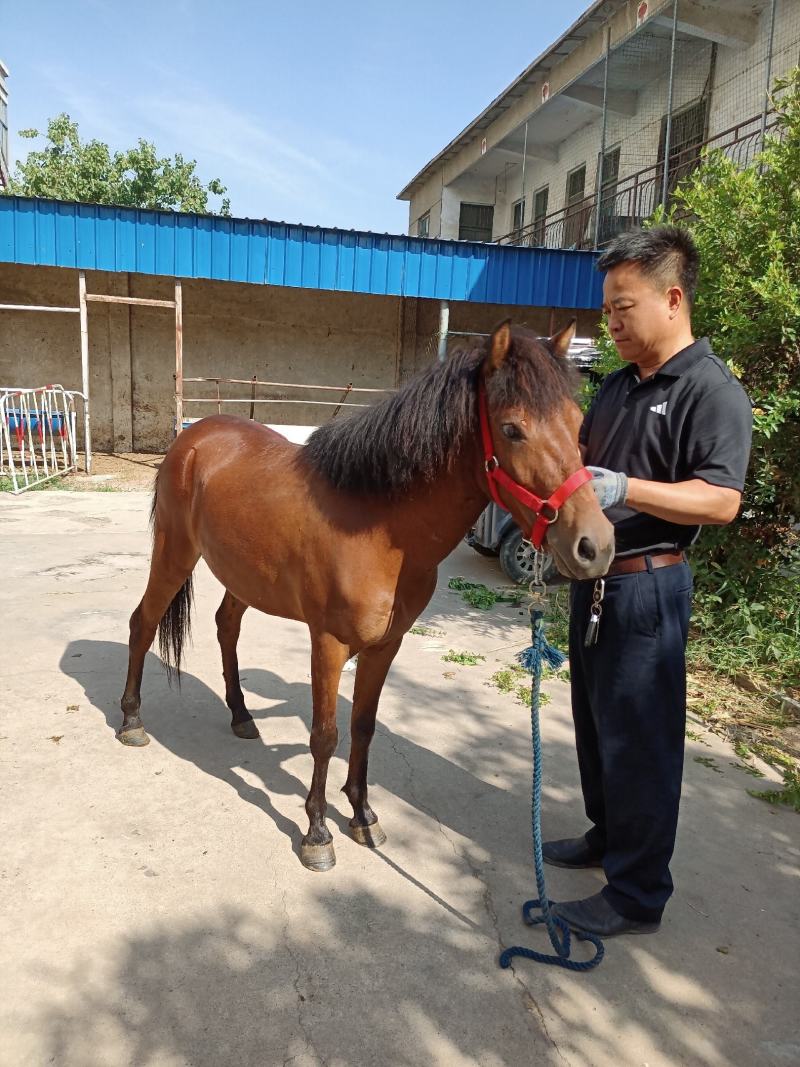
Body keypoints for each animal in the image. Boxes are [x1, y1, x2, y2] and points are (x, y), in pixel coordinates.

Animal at [122, 317, 618, 866]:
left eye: (577, 424)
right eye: (512, 429)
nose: (595, 545)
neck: (380, 529)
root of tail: (193, 437)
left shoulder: (385, 646)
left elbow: (363, 726)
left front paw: (362, 817)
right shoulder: (328, 644)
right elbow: (325, 735)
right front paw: (317, 832)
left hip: (242, 576)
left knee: (226, 627)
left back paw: (241, 716)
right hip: (174, 552)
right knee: (143, 622)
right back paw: (132, 721)